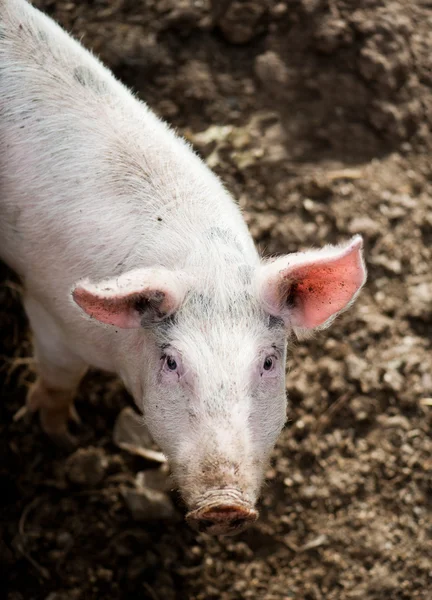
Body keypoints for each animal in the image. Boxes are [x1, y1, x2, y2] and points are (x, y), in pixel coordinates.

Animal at [0, 0, 368, 536]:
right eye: (172, 362)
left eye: (268, 362)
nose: (224, 506)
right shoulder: (47, 315)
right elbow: (57, 382)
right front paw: (64, 440)